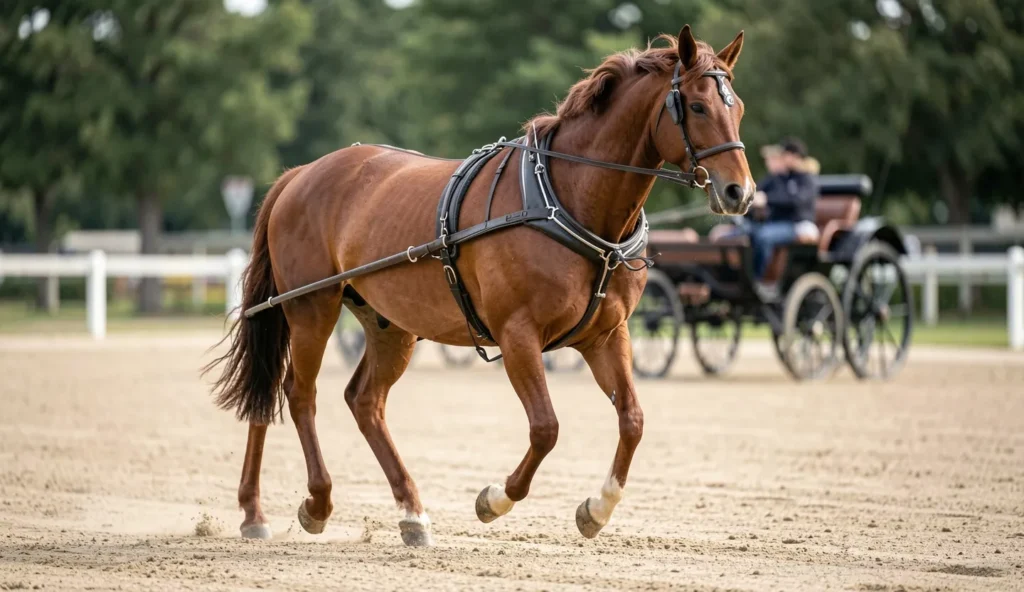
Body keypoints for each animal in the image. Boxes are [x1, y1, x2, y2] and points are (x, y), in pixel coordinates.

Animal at [205, 24, 753, 546]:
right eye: (698, 105)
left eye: (739, 108)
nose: (740, 192)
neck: (564, 198)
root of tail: (300, 174)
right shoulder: (518, 336)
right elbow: (546, 428)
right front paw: (494, 499)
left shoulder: (606, 335)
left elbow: (633, 421)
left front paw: (597, 509)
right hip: (309, 307)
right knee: (296, 394)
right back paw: (307, 505)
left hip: (389, 324)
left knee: (361, 401)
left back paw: (403, 512)